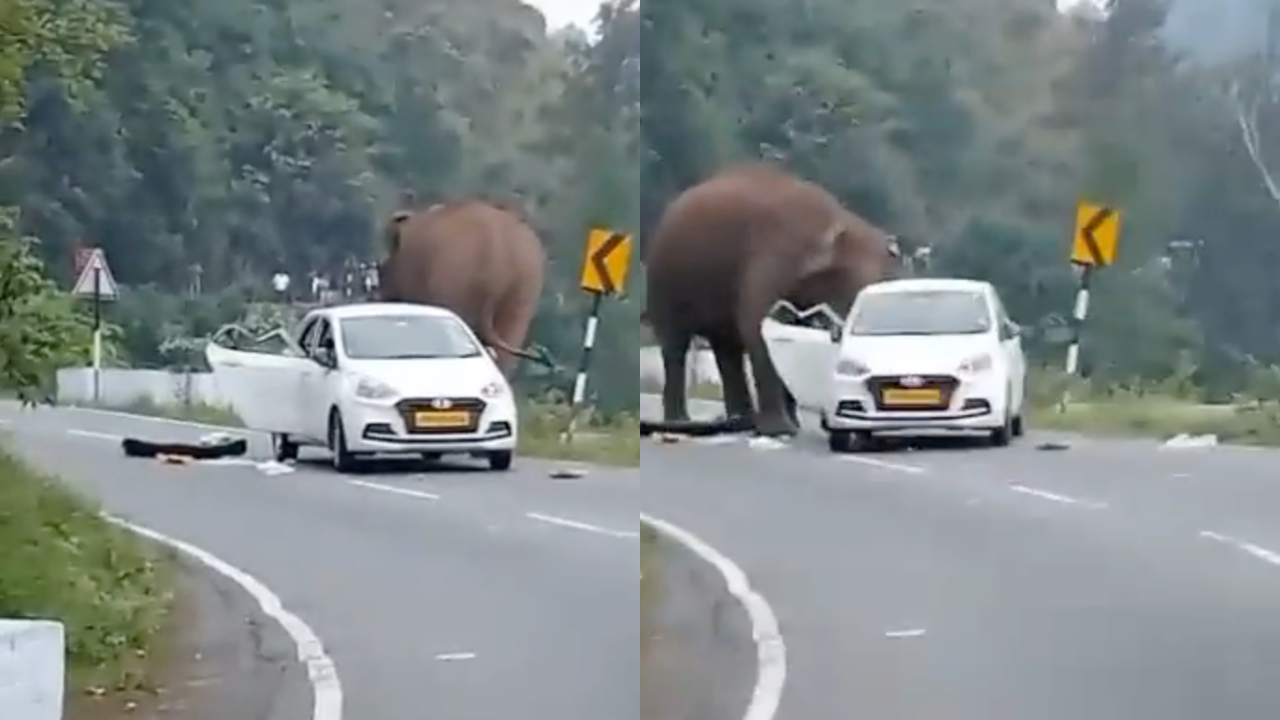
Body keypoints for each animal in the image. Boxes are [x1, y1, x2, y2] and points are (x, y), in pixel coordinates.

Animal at [640, 162, 901, 435]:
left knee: (726, 347)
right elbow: (758, 326)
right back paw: (682, 421)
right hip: (664, 281)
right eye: (847, 284)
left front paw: (792, 425)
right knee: (675, 344)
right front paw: (781, 430)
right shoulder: (770, 260)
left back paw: (741, 421)